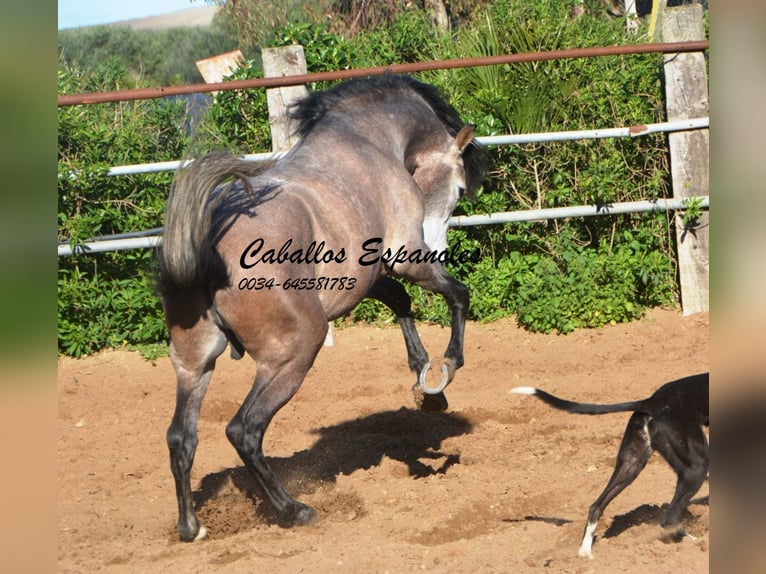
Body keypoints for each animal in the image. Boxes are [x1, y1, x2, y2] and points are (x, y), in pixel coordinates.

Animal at [512, 374, 712, 560]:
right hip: (696, 468)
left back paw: (585, 553)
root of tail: (652, 401)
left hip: (631, 464)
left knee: (596, 506)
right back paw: (695, 543)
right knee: (670, 519)